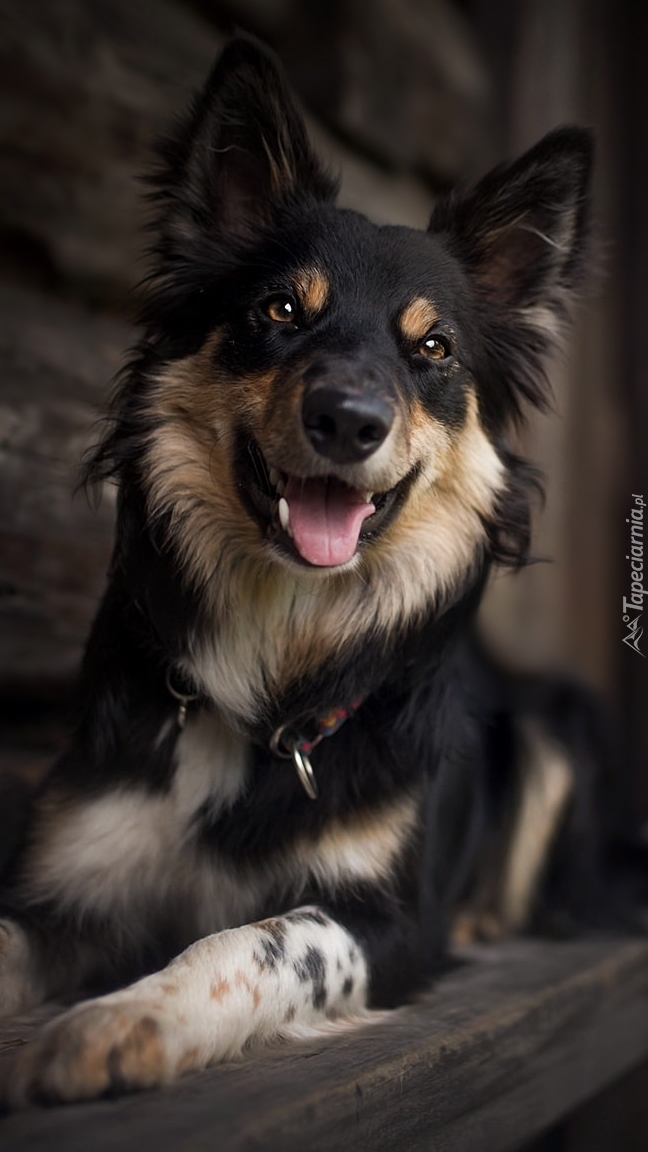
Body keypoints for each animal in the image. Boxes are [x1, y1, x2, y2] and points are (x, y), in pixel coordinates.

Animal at [0, 36, 599, 1105]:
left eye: (433, 346)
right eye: (281, 309)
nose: (349, 421)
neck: (282, 642)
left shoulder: (388, 922)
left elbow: (259, 938)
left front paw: (122, 1020)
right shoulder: (66, 885)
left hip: (556, 733)